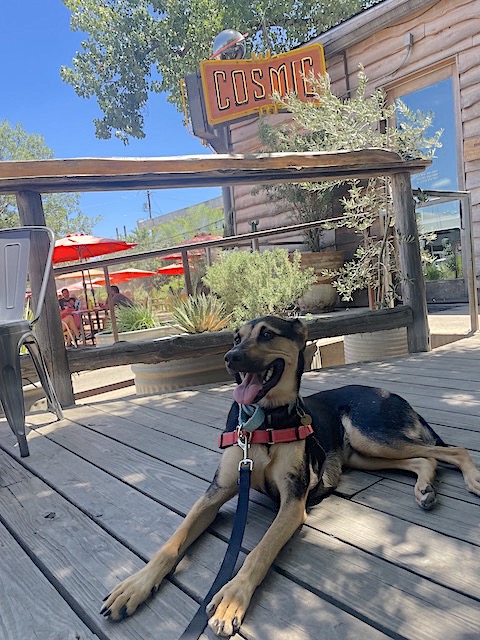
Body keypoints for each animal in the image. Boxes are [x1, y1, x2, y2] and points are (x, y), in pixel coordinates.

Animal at [102, 314, 480, 636]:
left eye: (267, 334)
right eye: (236, 337)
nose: (229, 357)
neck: (263, 423)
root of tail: (391, 394)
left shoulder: (292, 502)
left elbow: (260, 550)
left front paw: (232, 598)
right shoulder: (215, 493)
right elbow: (172, 542)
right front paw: (135, 586)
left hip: (369, 435)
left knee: (454, 450)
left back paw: (471, 480)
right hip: (363, 454)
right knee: (423, 459)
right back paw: (425, 488)